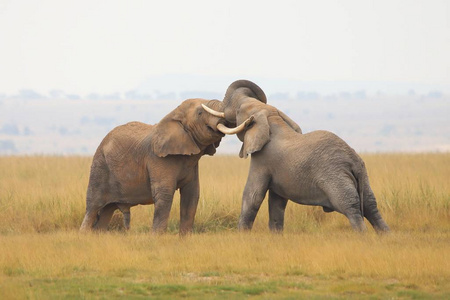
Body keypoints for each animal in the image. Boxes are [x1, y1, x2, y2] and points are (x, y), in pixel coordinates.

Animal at [80, 98, 253, 234]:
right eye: (199, 113)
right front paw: (156, 239)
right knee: (93, 207)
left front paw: (184, 240)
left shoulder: (191, 163)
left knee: (106, 212)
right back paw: (84, 237)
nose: (250, 119)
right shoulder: (158, 159)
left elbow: (191, 195)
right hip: (100, 166)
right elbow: (165, 194)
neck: (174, 115)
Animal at [205, 81, 390, 233]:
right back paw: (384, 236)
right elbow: (277, 202)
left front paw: (242, 235)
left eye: (238, 111)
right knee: (371, 205)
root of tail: (352, 162)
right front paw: (276, 236)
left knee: (351, 207)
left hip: (335, 178)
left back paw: (362, 236)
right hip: (363, 175)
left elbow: (252, 196)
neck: (272, 119)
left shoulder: (262, 160)